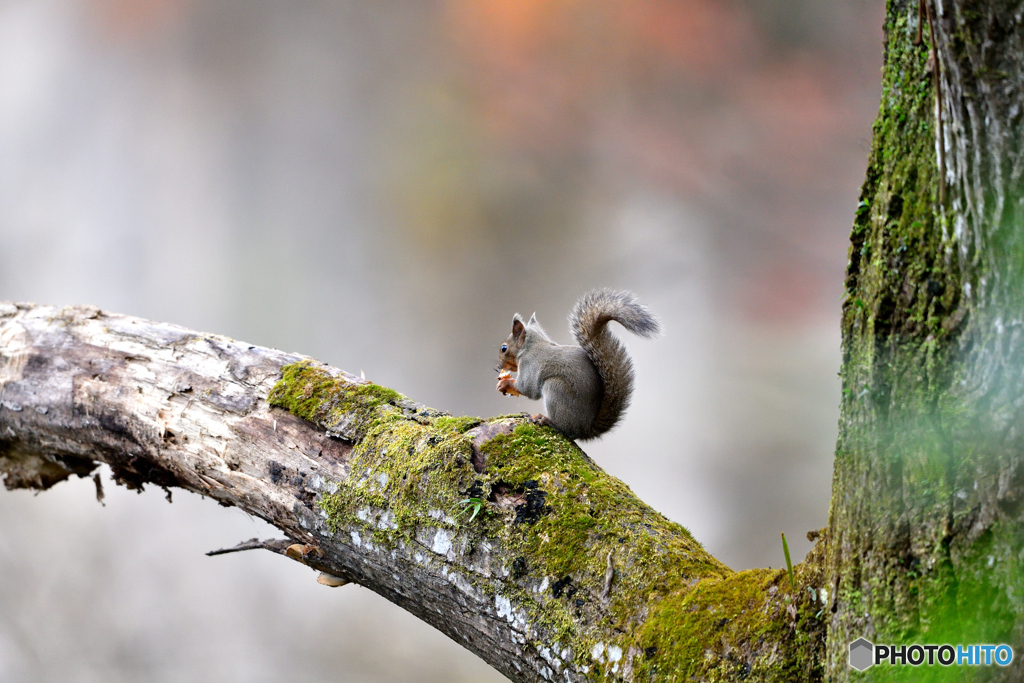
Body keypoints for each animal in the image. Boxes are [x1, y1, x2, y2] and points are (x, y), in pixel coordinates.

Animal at [497, 290, 659, 440]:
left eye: (504, 348)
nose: (499, 366)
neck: (530, 346)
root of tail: (585, 430)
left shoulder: (530, 363)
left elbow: (527, 388)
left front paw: (505, 383)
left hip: (555, 388)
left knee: (565, 430)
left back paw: (546, 420)